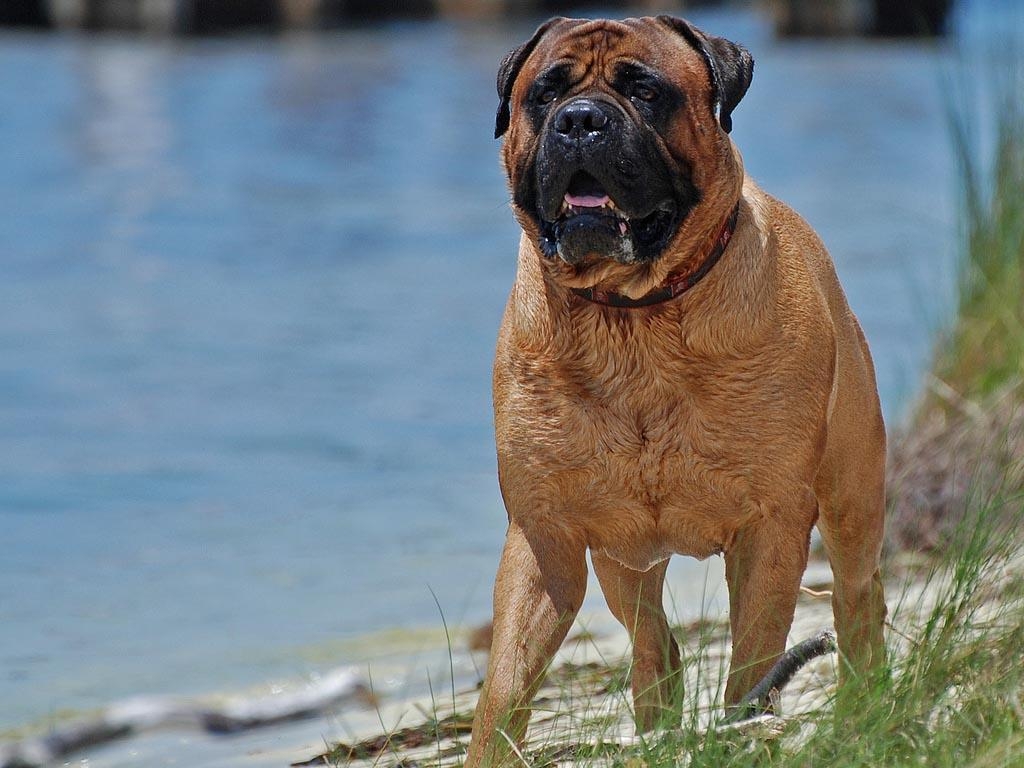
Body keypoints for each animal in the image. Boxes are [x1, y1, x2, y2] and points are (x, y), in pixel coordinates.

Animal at [466, 15, 888, 765]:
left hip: (851, 502)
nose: (581, 120)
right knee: (650, 641)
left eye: (645, 90)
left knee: (857, 601)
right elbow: (505, 688)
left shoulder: (771, 527)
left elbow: (752, 662)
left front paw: (745, 732)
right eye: (545, 93)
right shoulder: (545, 535)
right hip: (621, 554)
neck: (634, 318)